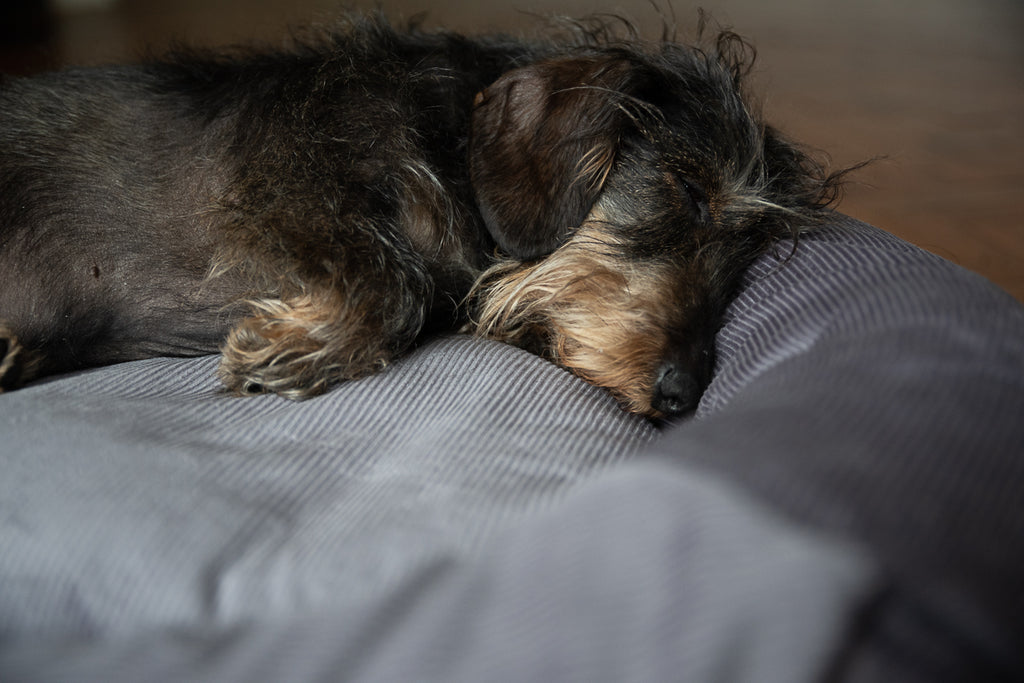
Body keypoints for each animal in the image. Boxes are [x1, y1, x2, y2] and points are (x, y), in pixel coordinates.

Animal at [0, 13, 839, 419]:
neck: (449, 143)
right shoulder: (280, 184)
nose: (681, 396)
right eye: (691, 191)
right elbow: (391, 285)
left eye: (745, 255)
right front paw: (288, 352)